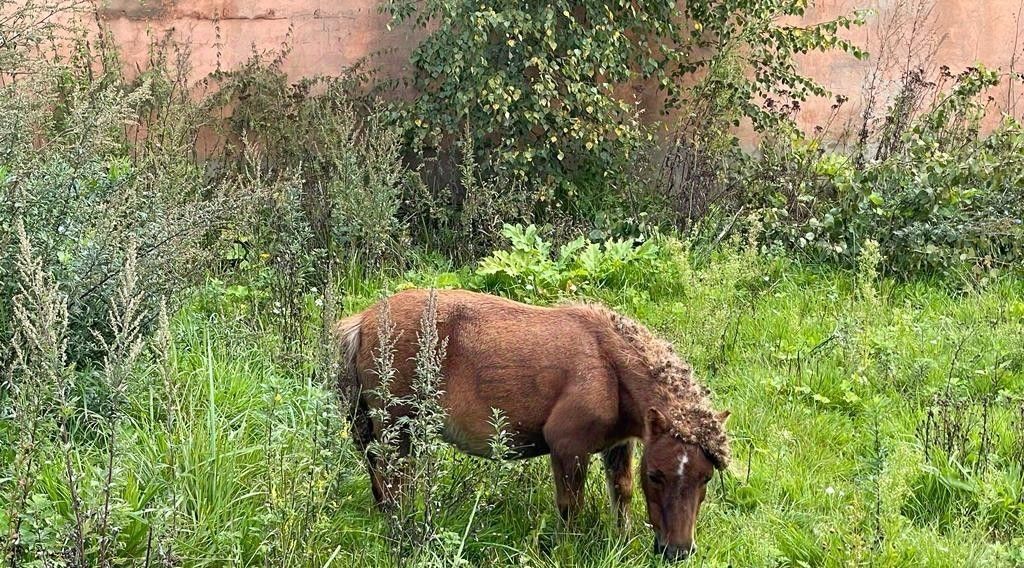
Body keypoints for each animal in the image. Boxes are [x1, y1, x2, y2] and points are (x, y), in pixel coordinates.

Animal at [335, 290, 729, 560]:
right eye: (657, 475)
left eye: (706, 477)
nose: (676, 551)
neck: (608, 366)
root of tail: (364, 319)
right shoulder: (568, 448)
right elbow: (571, 507)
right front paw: (566, 553)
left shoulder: (620, 445)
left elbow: (622, 493)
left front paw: (621, 540)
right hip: (396, 428)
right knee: (393, 482)